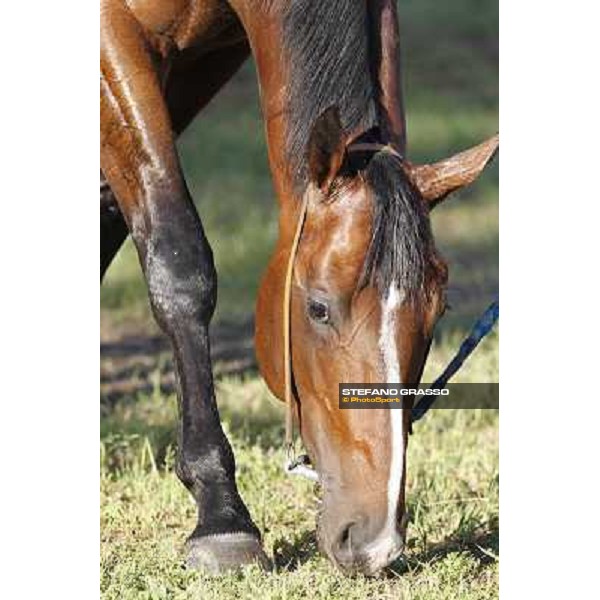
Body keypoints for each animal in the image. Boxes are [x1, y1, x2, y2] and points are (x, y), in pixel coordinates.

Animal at [101, 0, 500, 576]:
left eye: (439, 311)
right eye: (317, 308)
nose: (374, 541)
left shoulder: (204, 58)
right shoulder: (117, 37)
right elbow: (178, 260)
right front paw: (222, 517)